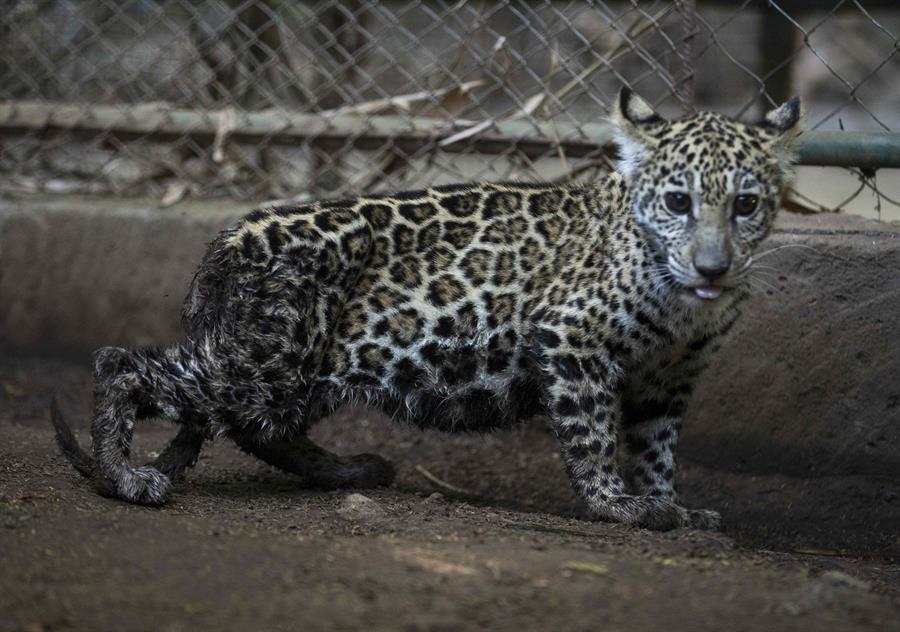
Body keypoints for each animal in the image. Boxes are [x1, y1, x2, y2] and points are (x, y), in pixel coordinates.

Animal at [51, 88, 803, 531]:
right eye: (678, 202)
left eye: (746, 205)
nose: (714, 268)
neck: (682, 308)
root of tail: (230, 241)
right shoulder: (572, 340)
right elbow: (591, 433)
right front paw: (614, 503)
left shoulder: (668, 377)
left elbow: (657, 446)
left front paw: (671, 502)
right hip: (266, 367)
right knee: (124, 364)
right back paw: (125, 476)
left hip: (294, 373)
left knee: (256, 430)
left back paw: (350, 471)